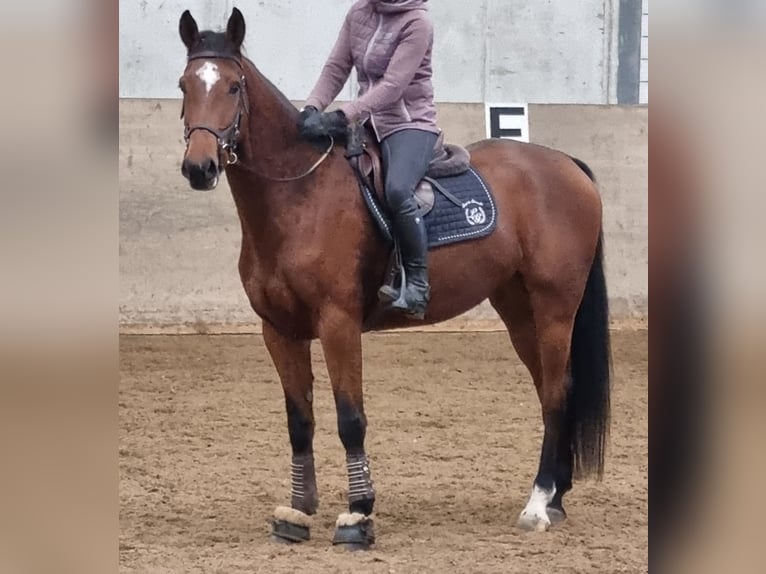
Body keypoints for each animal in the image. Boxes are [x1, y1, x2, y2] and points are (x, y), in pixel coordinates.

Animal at [176, 7, 612, 548]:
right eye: (184, 85)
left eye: (234, 87)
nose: (199, 167)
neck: (299, 197)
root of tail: (565, 164)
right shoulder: (278, 330)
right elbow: (300, 420)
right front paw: (297, 511)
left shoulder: (338, 324)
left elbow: (350, 419)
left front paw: (358, 514)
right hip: (519, 310)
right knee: (554, 389)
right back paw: (555, 497)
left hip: (555, 307)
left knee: (554, 393)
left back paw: (536, 504)